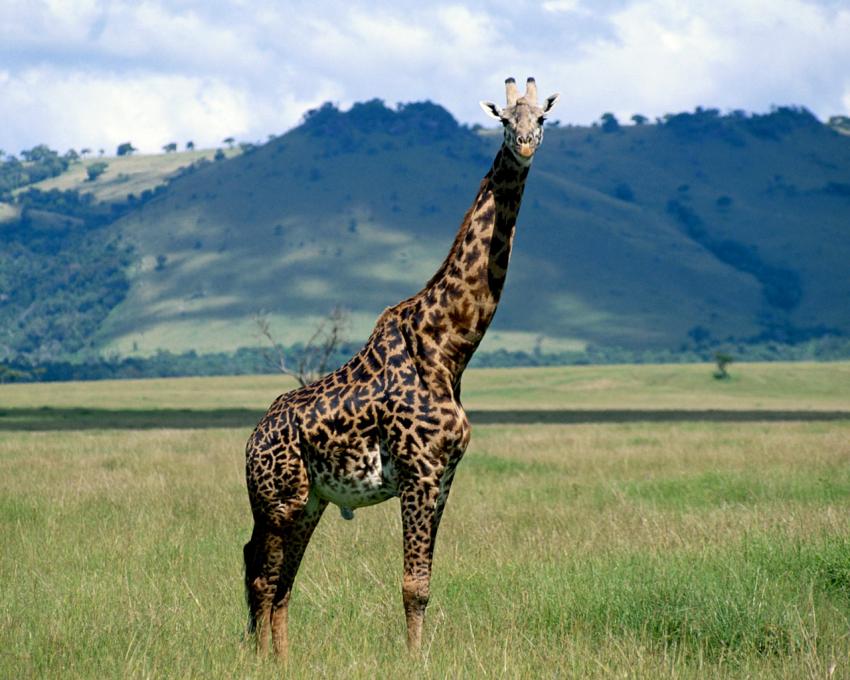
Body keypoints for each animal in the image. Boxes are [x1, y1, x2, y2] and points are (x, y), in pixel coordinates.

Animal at [244, 77, 560, 658]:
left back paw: (283, 657)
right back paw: (260, 660)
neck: (450, 348)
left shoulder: (446, 477)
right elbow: (413, 584)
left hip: (310, 502)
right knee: (262, 575)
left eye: (542, 118)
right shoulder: (419, 471)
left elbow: (428, 580)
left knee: (279, 580)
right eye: (504, 119)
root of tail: (250, 440)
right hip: (279, 498)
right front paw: (414, 659)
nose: (526, 144)